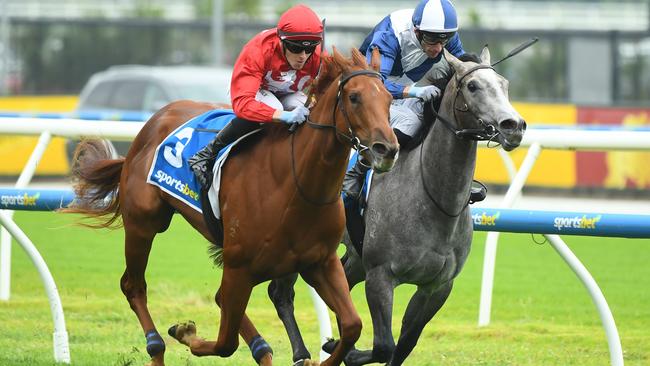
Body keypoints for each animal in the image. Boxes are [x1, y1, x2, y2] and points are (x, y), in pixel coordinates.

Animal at [67, 47, 400, 364]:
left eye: (389, 98)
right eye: (354, 97)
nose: (387, 149)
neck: (296, 185)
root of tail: (153, 122)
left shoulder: (320, 262)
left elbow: (352, 325)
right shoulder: (239, 266)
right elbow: (225, 343)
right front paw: (187, 333)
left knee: (217, 299)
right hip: (144, 223)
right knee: (133, 286)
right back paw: (156, 348)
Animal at [268, 46, 528, 366]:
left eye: (504, 84)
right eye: (473, 86)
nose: (513, 126)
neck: (433, 200)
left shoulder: (437, 286)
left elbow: (404, 344)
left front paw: (340, 346)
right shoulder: (381, 276)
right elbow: (384, 345)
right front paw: (342, 349)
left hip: (355, 257)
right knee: (280, 293)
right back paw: (302, 353)